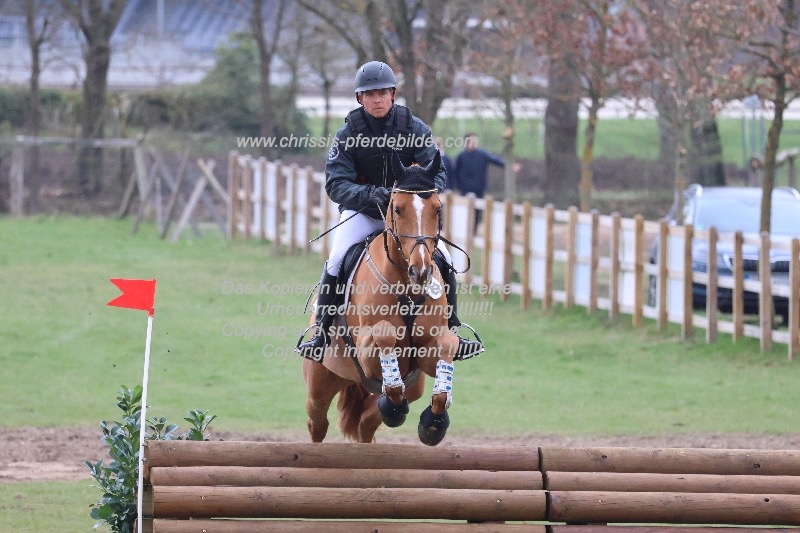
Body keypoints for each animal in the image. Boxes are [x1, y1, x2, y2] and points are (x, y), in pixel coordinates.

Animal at [304, 153, 460, 444]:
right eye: (397, 208)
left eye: (437, 208)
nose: (421, 271)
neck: (407, 287)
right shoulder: (366, 351)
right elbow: (385, 334)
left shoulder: (427, 352)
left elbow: (447, 345)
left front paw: (434, 423)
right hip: (320, 385)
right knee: (317, 422)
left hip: (413, 386)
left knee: (368, 421)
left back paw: (390, 409)